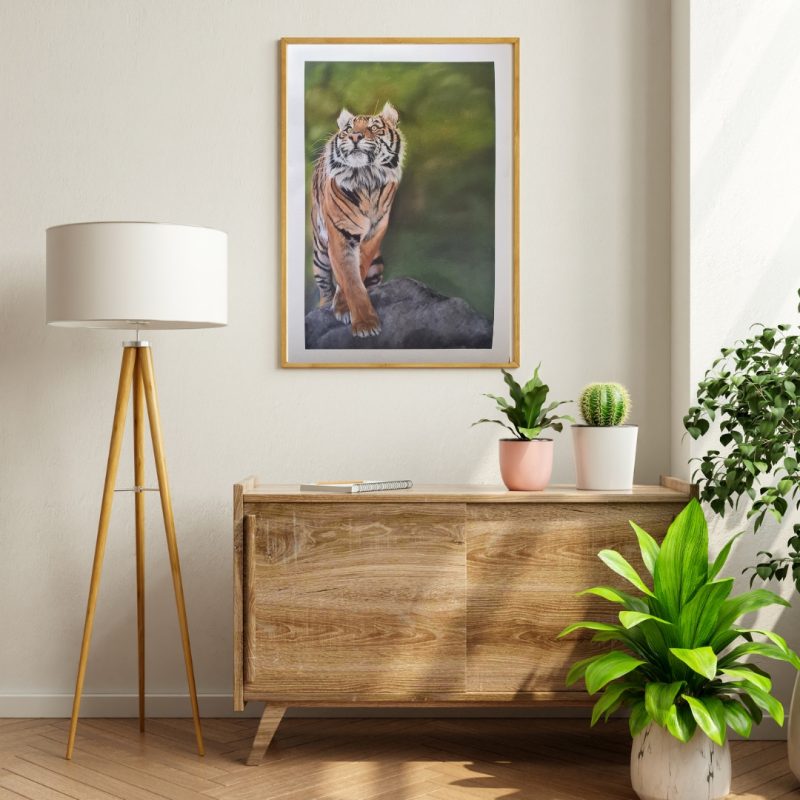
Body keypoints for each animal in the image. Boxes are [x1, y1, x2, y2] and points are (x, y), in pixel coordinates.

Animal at [310, 101, 405, 337]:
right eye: (348, 129)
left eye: (374, 127)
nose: (354, 137)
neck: (367, 178)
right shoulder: (341, 236)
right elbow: (350, 279)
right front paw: (365, 324)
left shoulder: (373, 235)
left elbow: (356, 274)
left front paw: (347, 309)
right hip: (320, 254)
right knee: (324, 285)